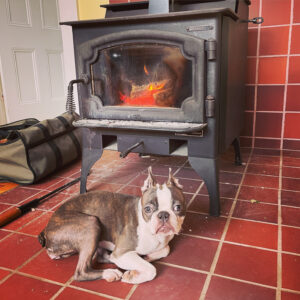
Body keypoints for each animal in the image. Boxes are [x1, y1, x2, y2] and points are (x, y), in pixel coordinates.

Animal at [37, 168, 185, 284]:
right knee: (81, 271)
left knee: (101, 256)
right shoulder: (121, 253)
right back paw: (110, 273)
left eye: (178, 207)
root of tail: (46, 229)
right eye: (148, 209)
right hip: (91, 223)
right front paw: (133, 277)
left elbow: (166, 249)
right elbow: (152, 269)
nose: (163, 214)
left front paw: (147, 257)